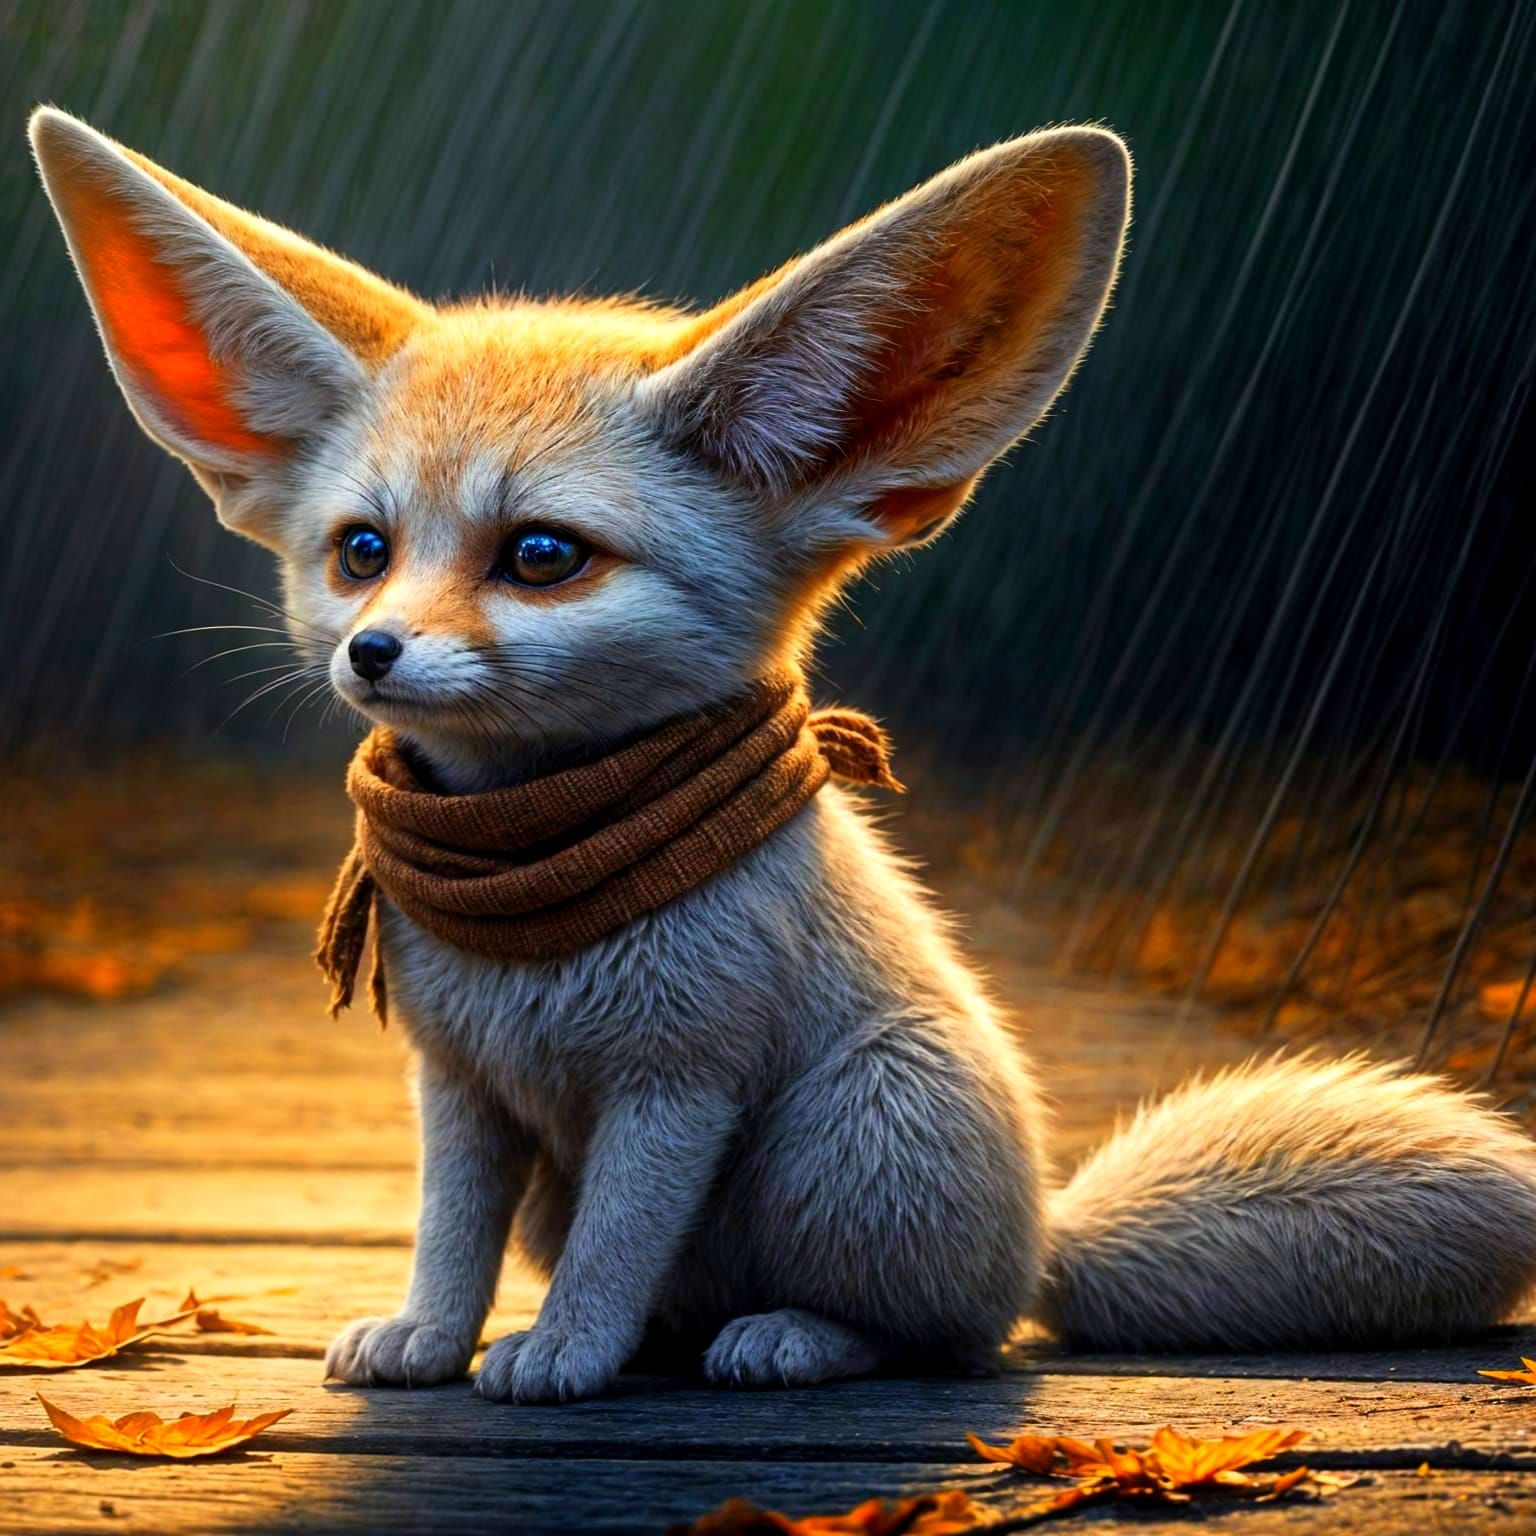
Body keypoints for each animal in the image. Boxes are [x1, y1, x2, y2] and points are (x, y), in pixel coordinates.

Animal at [29, 106, 1536, 1403]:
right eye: (361, 552)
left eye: (541, 556)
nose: (373, 654)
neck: (536, 889)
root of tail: (1040, 1238)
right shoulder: (461, 1090)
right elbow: (451, 1240)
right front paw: (427, 1341)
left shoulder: (678, 1084)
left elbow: (618, 1245)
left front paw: (560, 1356)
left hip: (853, 1121)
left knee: (932, 1335)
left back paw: (789, 1340)